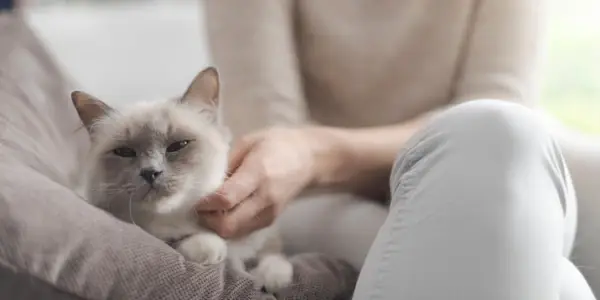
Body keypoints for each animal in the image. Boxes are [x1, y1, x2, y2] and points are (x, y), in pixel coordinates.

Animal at [71, 66, 294, 292]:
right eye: (125, 152)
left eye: (178, 145)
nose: (150, 172)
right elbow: (187, 242)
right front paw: (210, 248)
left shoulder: (262, 233)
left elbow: (271, 254)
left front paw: (272, 278)